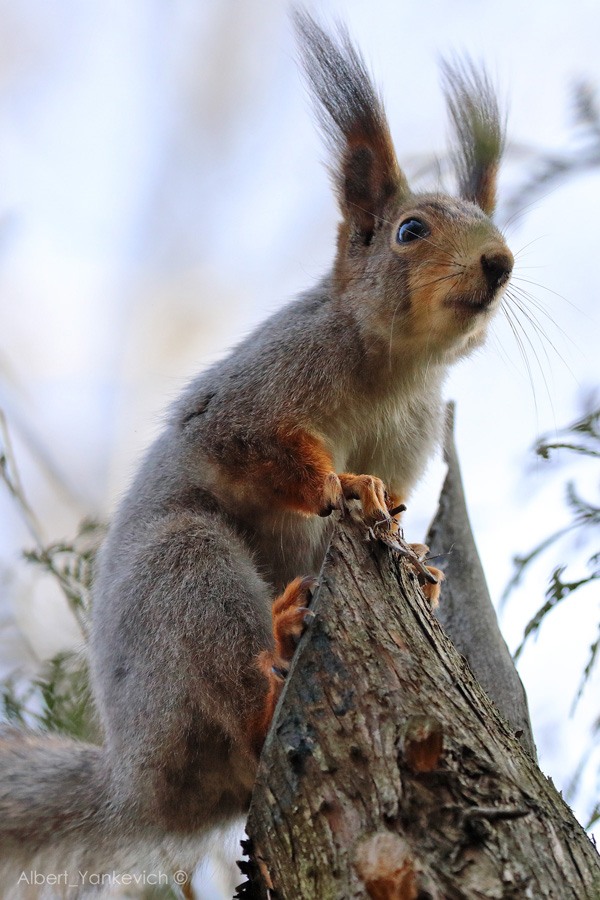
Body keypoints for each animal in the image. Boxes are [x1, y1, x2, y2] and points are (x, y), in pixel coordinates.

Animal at [0, 11, 513, 891]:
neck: (395, 366)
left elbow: (401, 502)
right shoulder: (259, 384)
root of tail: (136, 785)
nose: (500, 264)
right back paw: (275, 648)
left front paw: (419, 558)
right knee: (235, 694)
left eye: (499, 229)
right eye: (411, 231)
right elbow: (247, 445)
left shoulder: (415, 431)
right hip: (181, 590)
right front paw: (342, 483)